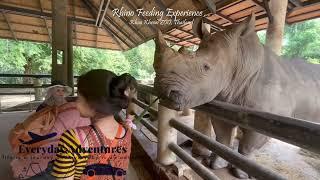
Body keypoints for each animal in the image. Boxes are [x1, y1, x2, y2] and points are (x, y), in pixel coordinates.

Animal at [152, 14, 320, 179]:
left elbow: (247, 146)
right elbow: (222, 139)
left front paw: (241, 173)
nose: (162, 89)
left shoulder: (271, 120)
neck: (239, 62)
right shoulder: (223, 104)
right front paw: (214, 164)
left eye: (206, 67)